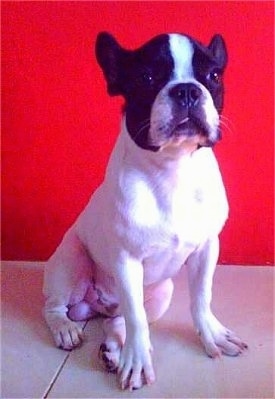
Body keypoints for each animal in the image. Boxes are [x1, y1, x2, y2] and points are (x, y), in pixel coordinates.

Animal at [43, 32, 248, 392]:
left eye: (213, 76)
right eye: (147, 78)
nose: (187, 89)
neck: (173, 168)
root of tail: (98, 305)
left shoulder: (207, 247)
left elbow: (201, 297)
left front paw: (211, 334)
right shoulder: (127, 260)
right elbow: (138, 320)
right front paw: (137, 363)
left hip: (162, 292)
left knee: (118, 320)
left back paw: (113, 349)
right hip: (70, 259)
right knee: (56, 306)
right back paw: (67, 329)